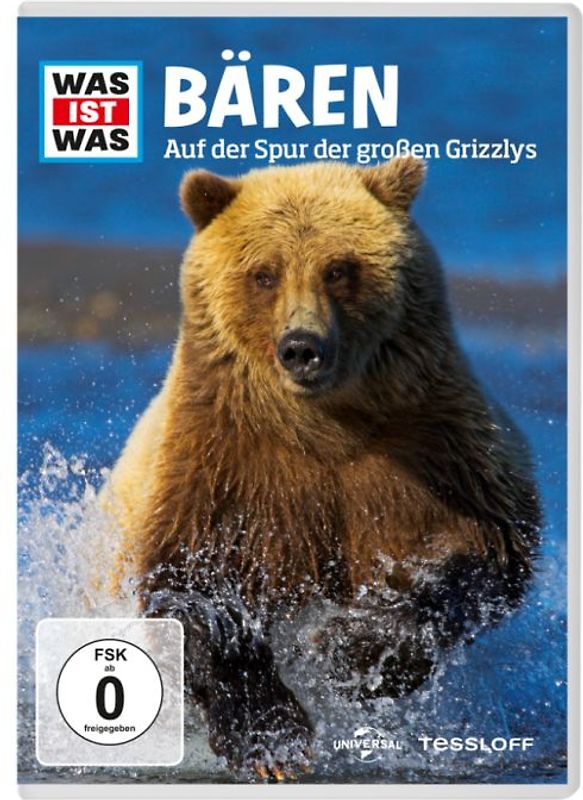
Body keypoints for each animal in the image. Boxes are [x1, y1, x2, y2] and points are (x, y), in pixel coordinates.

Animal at [104, 157, 540, 781]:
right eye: (264, 273)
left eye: (339, 268)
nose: (302, 347)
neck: (323, 424)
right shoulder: (220, 468)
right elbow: (193, 594)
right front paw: (270, 740)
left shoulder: (435, 450)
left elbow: (477, 555)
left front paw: (346, 652)